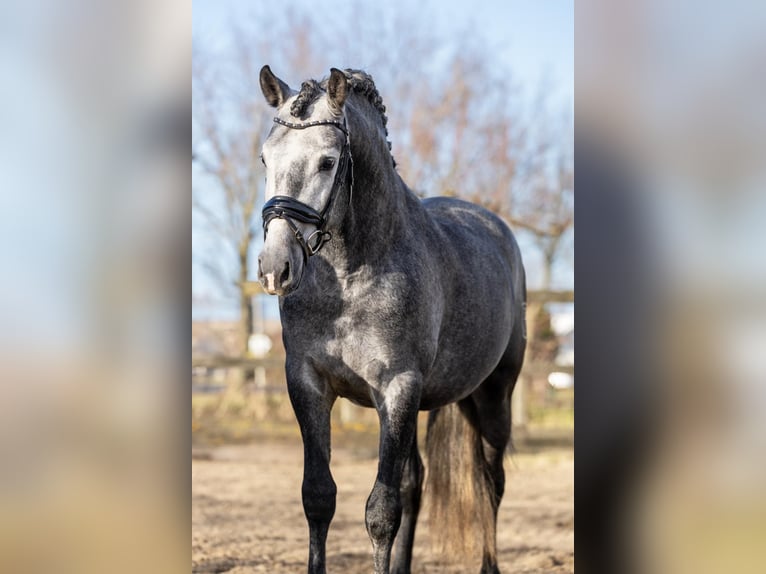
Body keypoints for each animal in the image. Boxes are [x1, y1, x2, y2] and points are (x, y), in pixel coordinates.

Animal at [258, 65, 528, 572]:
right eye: (265, 159)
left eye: (328, 162)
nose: (274, 267)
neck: (349, 279)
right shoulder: (308, 384)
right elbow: (318, 496)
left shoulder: (398, 388)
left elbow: (381, 511)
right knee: (415, 482)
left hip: (493, 396)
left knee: (491, 481)